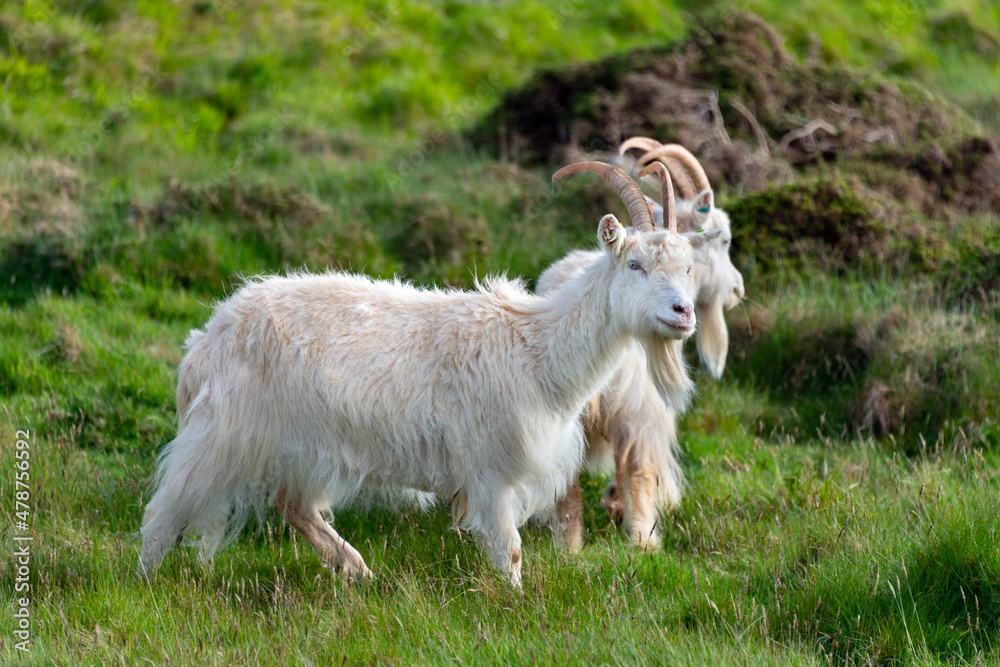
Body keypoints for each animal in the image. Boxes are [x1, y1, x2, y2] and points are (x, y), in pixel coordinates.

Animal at [139, 162, 720, 587]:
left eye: (687, 268)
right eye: (634, 266)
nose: (682, 313)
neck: (535, 347)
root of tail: (207, 338)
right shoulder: (491, 469)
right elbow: (509, 551)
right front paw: (516, 604)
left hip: (302, 442)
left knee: (293, 503)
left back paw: (356, 568)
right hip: (225, 434)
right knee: (166, 510)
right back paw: (146, 581)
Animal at [538, 144, 744, 551]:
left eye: (686, 267)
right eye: (635, 264)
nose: (736, 290)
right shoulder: (647, 408)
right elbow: (642, 468)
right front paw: (642, 537)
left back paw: (569, 546)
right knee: (635, 469)